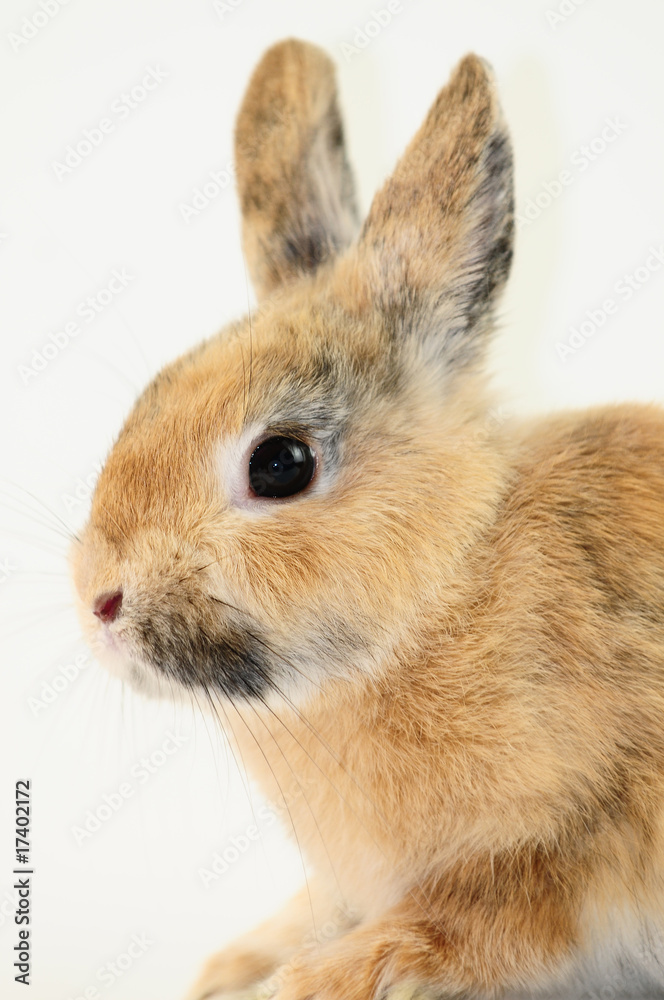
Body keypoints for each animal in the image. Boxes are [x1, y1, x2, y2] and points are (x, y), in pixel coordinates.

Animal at [70, 37, 664, 1000]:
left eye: (280, 465)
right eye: (148, 397)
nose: (100, 603)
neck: (439, 594)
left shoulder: (566, 846)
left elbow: (461, 924)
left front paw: (312, 980)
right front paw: (234, 968)